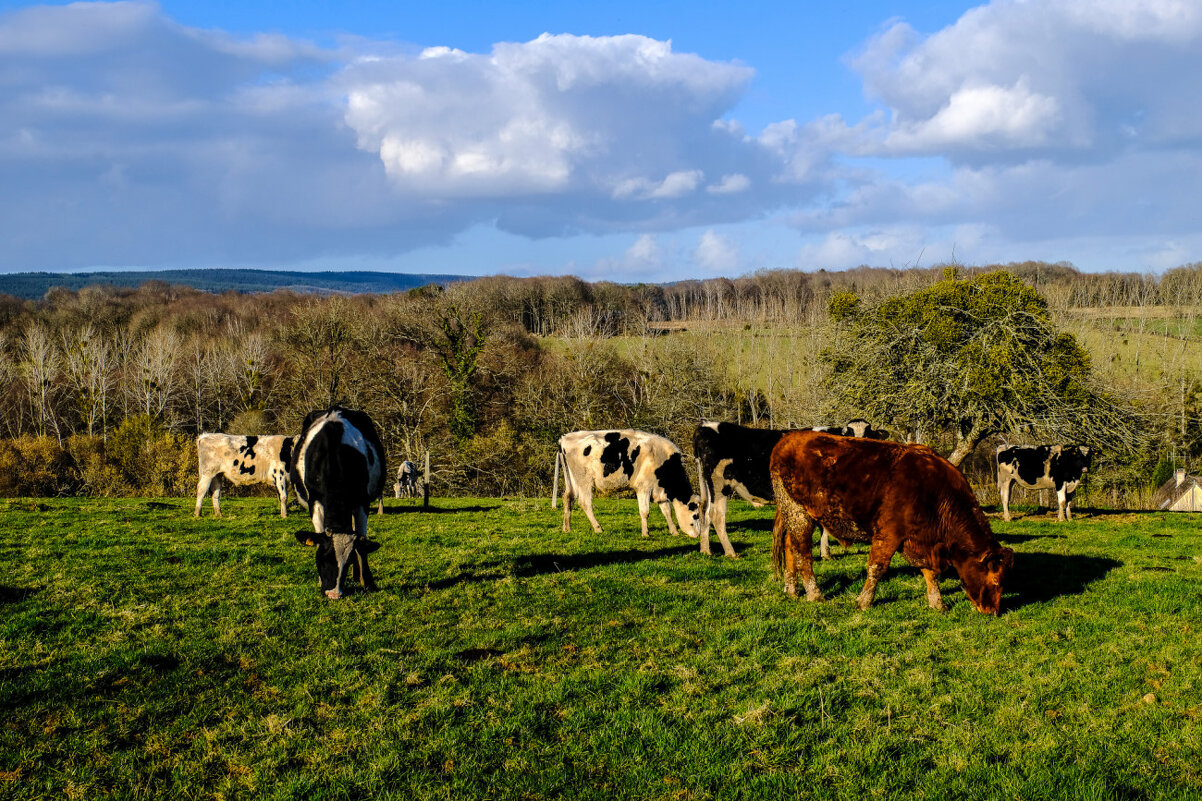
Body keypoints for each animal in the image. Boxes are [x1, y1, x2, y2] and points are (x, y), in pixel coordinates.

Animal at [290, 406, 384, 598]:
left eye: (346, 563)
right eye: (324, 558)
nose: (333, 594)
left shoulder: (362, 501)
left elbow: (361, 544)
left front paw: (368, 581)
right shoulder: (314, 500)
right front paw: (320, 581)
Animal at [555, 428, 701, 538]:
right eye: (696, 515)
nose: (698, 534)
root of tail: (566, 437)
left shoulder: (659, 490)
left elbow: (667, 511)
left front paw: (674, 531)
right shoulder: (643, 488)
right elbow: (645, 511)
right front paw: (645, 533)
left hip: (573, 480)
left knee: (568, 498)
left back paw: (567, 528)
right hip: (584, 480)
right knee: (584, 503)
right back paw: (598, 528)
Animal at [697, 418, 894, 555]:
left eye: (869, 436)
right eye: (848, 435)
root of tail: (705, 426)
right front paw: (826, 553)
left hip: (706, 486)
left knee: (703, 511)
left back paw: (706, 550)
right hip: (719, 484)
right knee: (716, 516)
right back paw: (731, 552)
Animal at [769, 430, 1014, 610]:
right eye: (995, 580)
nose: (993, 611)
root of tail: (790, 437)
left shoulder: (920, 540)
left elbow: (929, 572)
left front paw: (937, 603)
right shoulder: (888, 533)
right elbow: (877, 568)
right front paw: (864, 601)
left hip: (796, 514)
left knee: (790, 548)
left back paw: (792, 590)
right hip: (798, 513)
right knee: (802, 554)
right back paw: (815, 594)